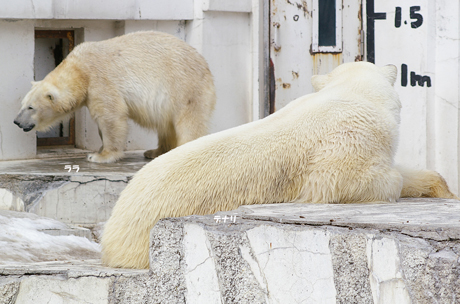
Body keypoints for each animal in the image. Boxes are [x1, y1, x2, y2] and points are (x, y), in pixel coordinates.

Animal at [13, 30, 216, 163]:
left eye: (31, 107)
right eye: (22, 104)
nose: (16, 121)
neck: (80, 71)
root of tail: (205, 65)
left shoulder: (101, 80)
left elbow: (111, 116)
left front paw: (99, 155)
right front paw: (100, 148)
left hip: (184, 88)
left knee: (189, 122)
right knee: (166, 126)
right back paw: (154, 152)